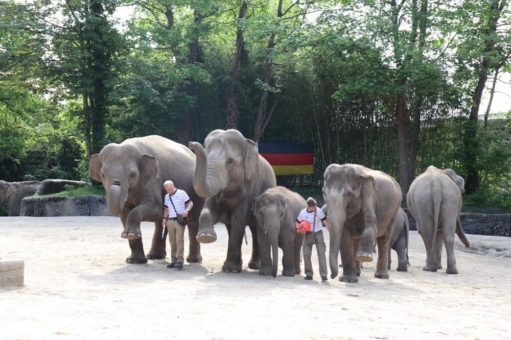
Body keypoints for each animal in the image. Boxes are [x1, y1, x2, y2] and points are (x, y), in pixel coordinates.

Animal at [89, 134, 205, 264]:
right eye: (103, 175)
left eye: (132, 175)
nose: (116, 182)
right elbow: (125, 213)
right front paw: (134, 260)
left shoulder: (153, 180)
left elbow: (156, 209)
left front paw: (130, 235)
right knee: (161, 222)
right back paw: (154, 256)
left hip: (197, 190)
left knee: (193, 221)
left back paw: (193, 260)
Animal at [188, 128, 278, 274]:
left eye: (230, 161)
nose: (191, 143)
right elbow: (209, 210)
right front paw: (206, 236)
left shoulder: (250, 188)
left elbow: (239, 219)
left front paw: (231, 269)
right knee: (237, 228)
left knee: (253, 229)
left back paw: (254, 266)